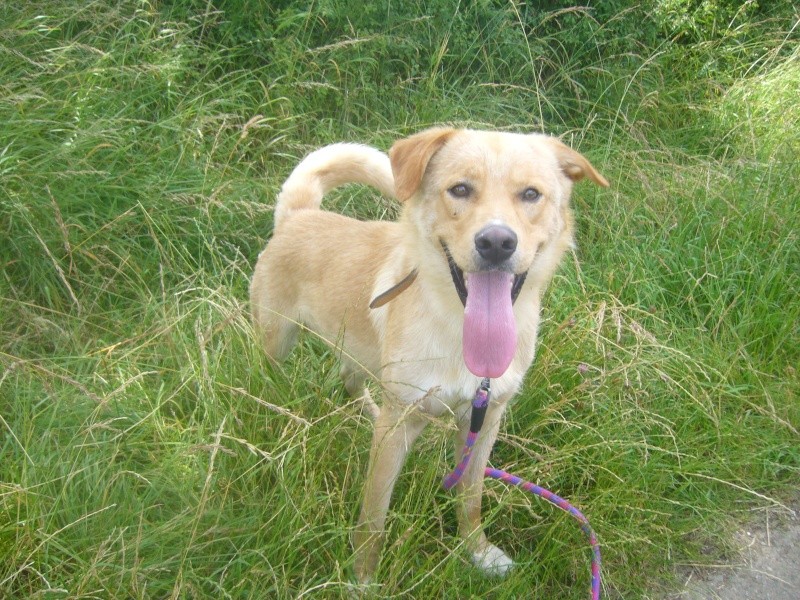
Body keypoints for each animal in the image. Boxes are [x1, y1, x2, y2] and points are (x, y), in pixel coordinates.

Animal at [250, 129, 608, 584]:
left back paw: (367, 412)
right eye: (460, 189)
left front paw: (478, 551)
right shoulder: (398, 428)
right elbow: (374, 516)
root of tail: (298, 216)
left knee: (350, 380)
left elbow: (470, 499)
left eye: (531, 194)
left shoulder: (484, 420)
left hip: (363, 352)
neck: (460, 331)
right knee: (277, 378)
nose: (496, 242)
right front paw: (363, 577)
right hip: (276, 341)